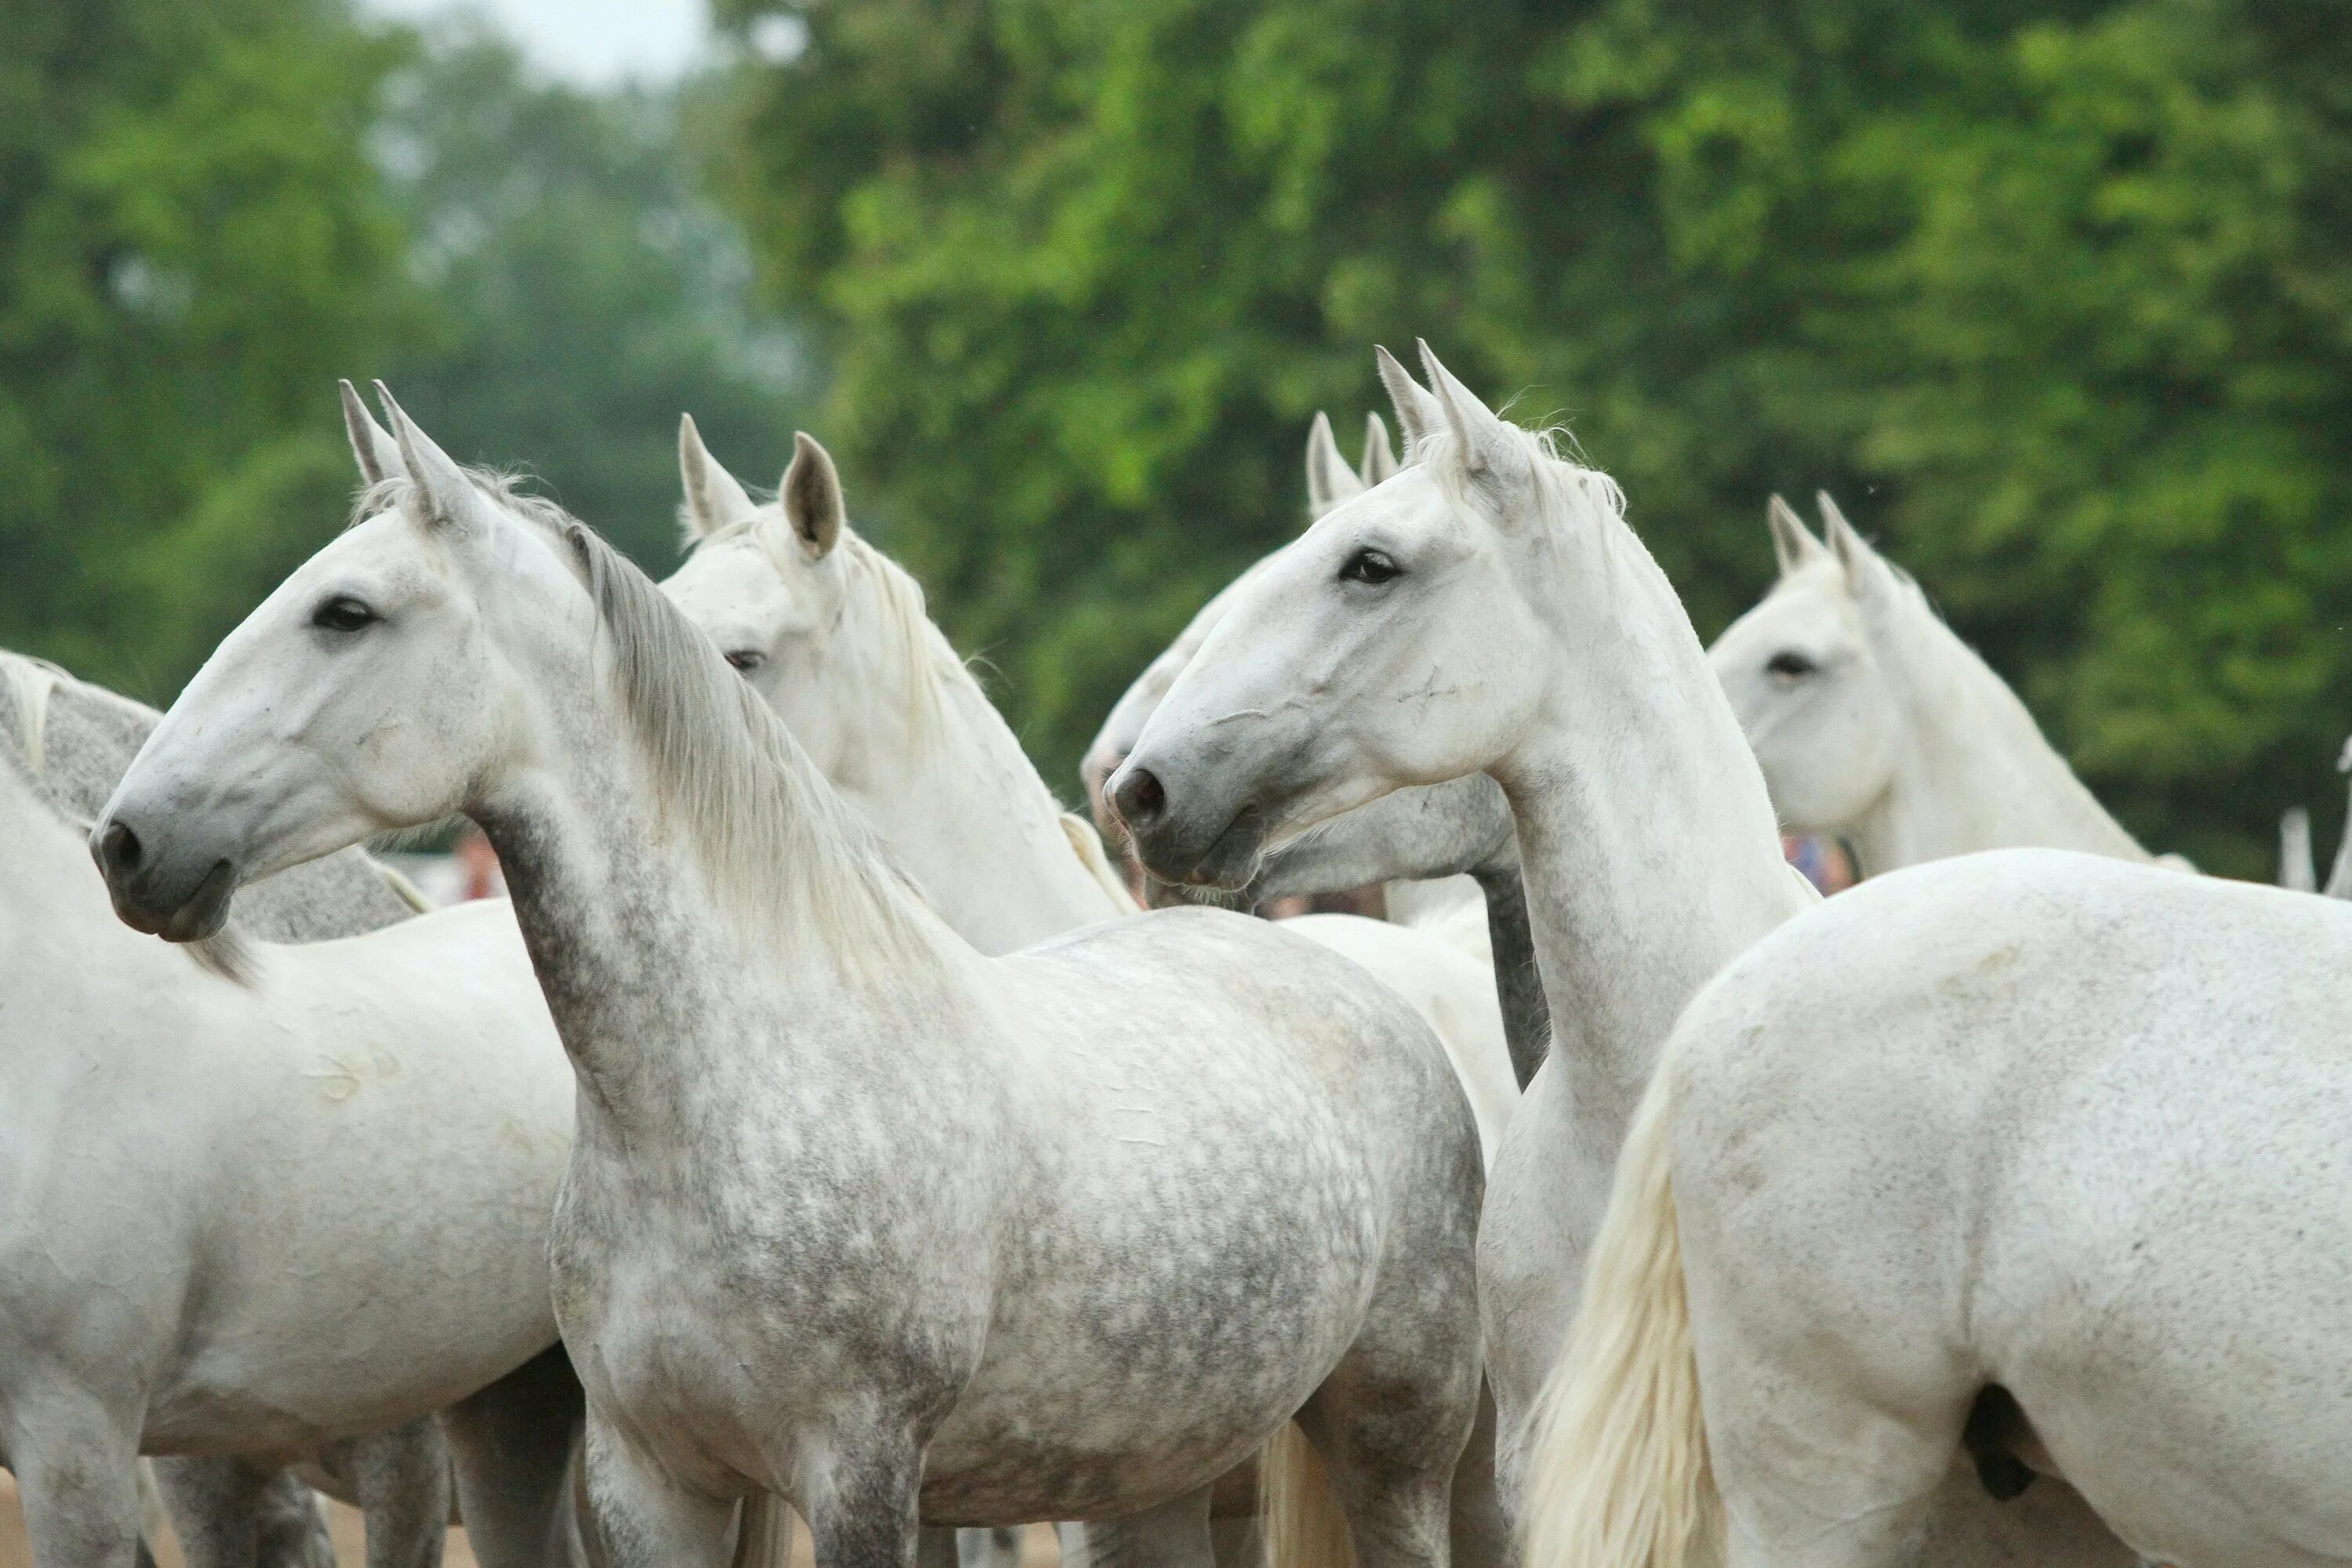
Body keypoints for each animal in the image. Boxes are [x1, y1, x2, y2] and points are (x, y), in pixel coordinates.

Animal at [101, 385, 1486, 1568]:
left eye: (346, 613)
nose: (130, 841)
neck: (732, 1086)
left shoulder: (862, 1475)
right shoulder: (654, 1480)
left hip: (1394, 1447)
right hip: (1156, 1477)